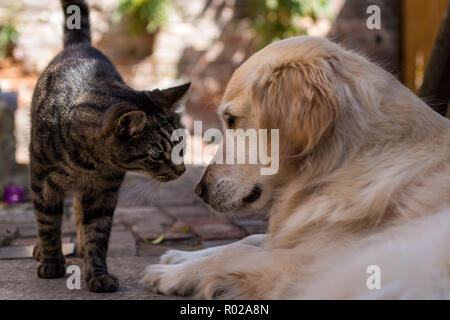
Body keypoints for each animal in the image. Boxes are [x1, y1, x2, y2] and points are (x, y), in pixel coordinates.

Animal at [29, 0, 188, 292]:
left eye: (180, 146)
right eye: (156, 155)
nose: (181, 171)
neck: (89, 163)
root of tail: (81, 46)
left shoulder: (105, 192)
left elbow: (97, 233)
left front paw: (98, 273)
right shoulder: (43, 181)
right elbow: (47, 223)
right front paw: (51, 262)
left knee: (78, 211)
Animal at [142, 36, 450, 298]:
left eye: (231, 119)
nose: (198, 190)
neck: (342, 164)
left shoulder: (331, 258)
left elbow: (238, 254)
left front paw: (173, 274)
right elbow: (248, 240)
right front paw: (182, 257)